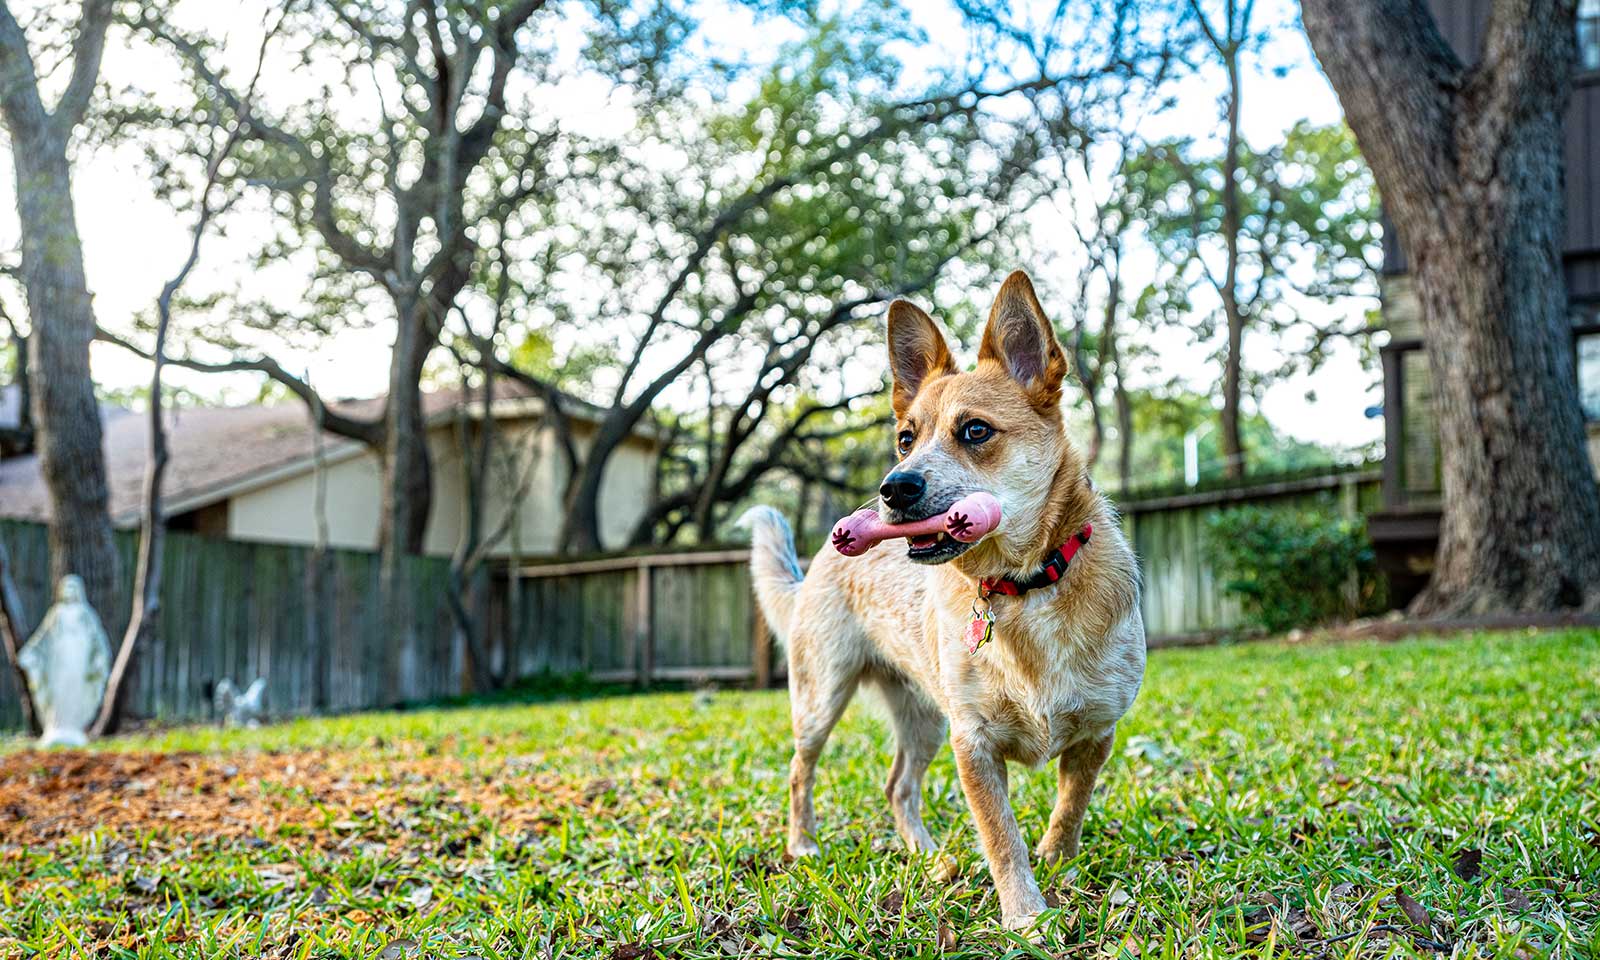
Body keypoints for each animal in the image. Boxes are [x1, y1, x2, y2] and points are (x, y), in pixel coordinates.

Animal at [742, 268, 1145, 928]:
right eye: (906, 439)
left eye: (975, 430)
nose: (893, 488)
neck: (1023, 586)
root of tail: (817, 562)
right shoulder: (972, 742)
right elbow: (1001, 835)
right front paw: (1025, 915)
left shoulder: (1096, 732)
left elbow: (1069, 809)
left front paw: (1058, 864)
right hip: (823, 698)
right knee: (802, 770)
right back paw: (803, 843)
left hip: (925, 718)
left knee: (897, 786)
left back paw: (927, 854)